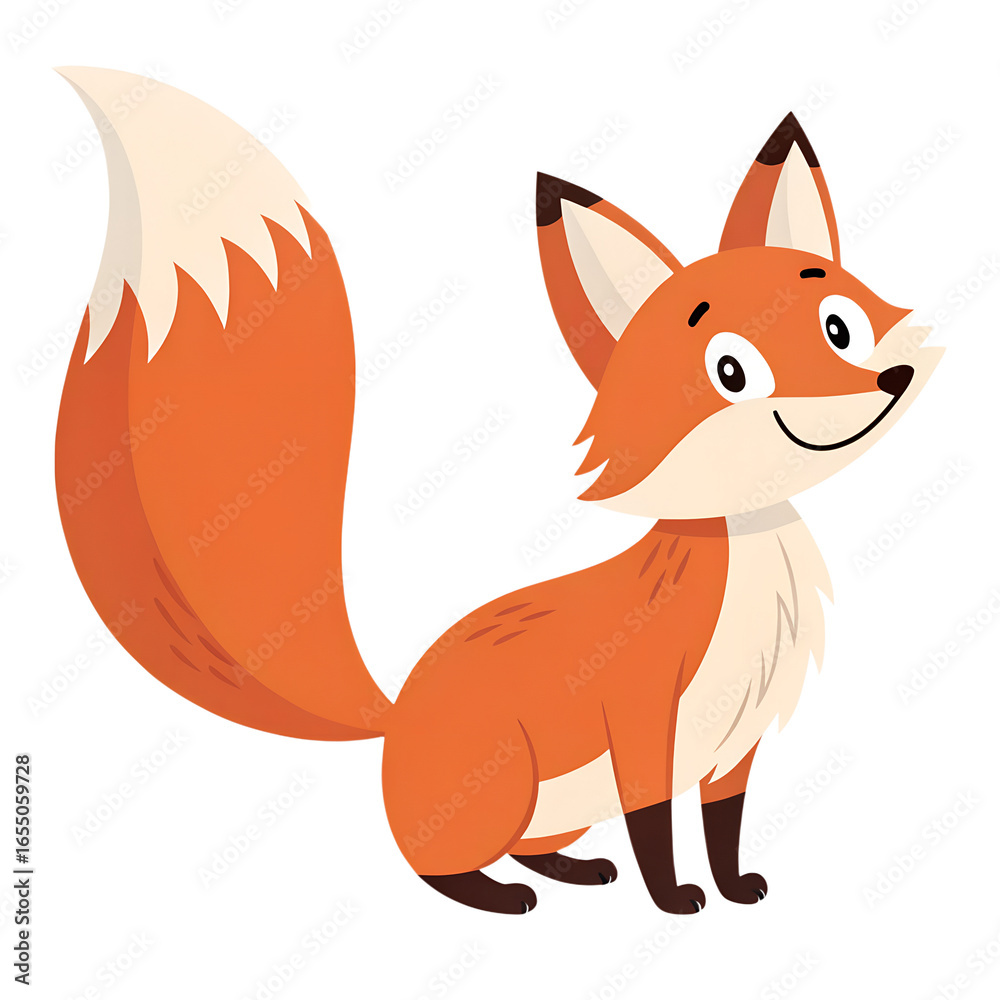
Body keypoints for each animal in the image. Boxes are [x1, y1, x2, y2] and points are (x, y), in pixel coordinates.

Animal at [55, 67, 941, 916]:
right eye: (731, 372)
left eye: (839, 326)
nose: (881, 385)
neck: (752, 570)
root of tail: (397, 714)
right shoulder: (641, 723)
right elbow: (655, 829)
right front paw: (675, 902)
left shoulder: (736, 748)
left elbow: (723, 830)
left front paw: (733, 890)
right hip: (504, 779)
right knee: (435, 866)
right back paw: (502, 898)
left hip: (548, 806)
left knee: (525, 846)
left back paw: (573, 871)